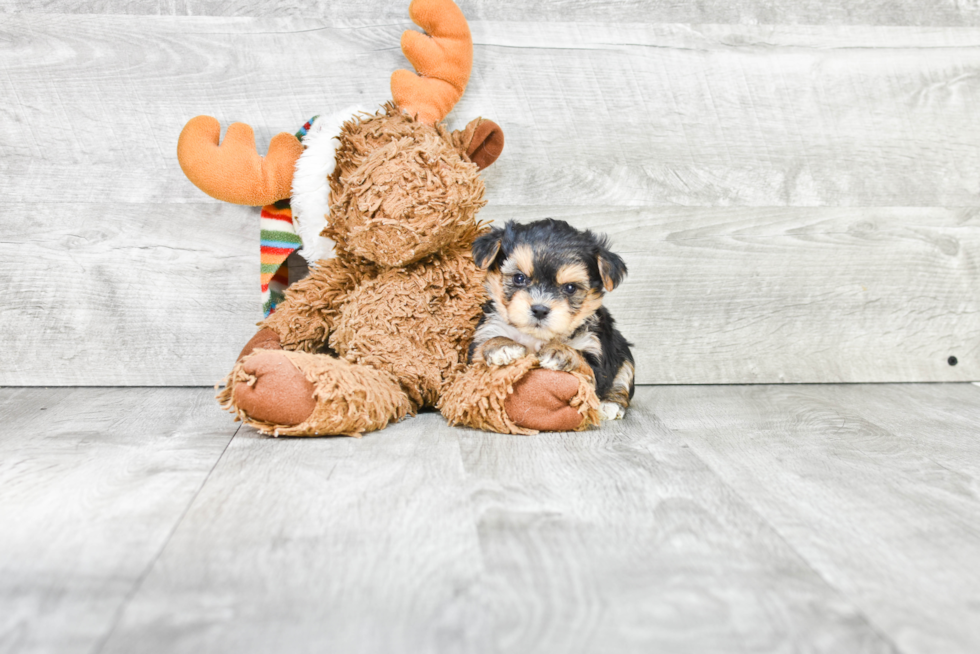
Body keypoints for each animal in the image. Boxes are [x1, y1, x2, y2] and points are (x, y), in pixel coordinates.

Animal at [468, 218, 636, 422]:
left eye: (570, 288)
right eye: (519, 278)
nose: (540, 309)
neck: (537, 336)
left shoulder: (595, 352)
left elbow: (584, 363)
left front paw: (559, 351)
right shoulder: (485, 334)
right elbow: (482, 348)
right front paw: (502, 346)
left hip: (622, 349)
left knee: (624, 375)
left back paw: (610, 404)